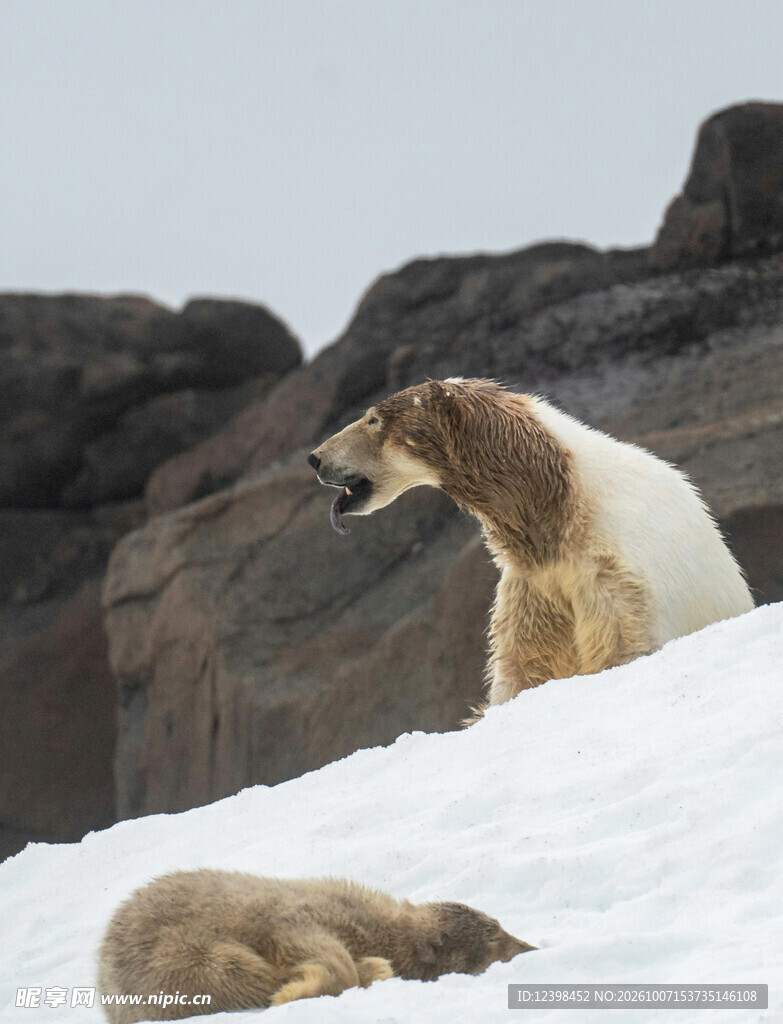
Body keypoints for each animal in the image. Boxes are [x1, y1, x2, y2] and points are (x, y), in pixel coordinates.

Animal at [96, 870, 533, 1021]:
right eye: (495, 934)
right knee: (231, 970)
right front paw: (299, 988)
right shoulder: (308, 910)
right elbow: (306, 941)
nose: (530, 947)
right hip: (170, 950)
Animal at [308, 378, 754, 719]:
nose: (315, 457)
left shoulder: (617, 576)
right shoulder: (536, 585)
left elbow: (617, 647)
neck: (560, 504)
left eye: (373, 419)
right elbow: (527, 665)